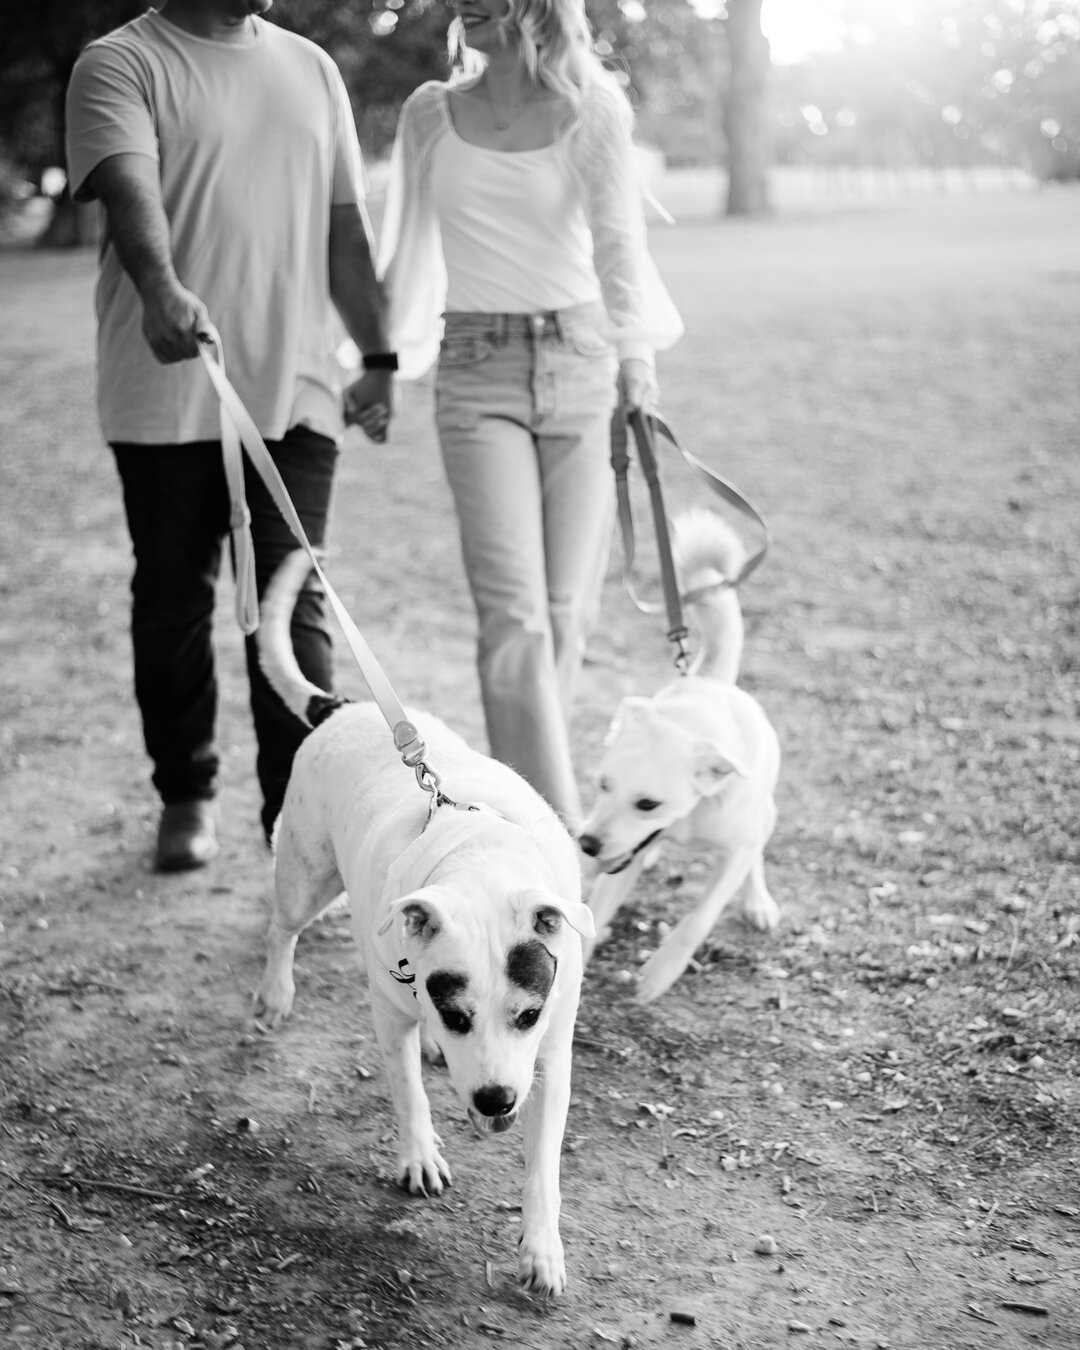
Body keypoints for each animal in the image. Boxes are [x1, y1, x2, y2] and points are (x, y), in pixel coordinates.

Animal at [252, 548, 594, 1296]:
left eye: (529, 1015)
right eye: (459, 1012)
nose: (494, 1099)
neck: (480, 859)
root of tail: (344, 706)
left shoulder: (551, 1058)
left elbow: (543, 1167)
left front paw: (541, 1249)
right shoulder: (390, 1011)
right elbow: (407, 1090)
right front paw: (418, 1156)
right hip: (305, 874)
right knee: (282, 927)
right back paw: (275, 994)